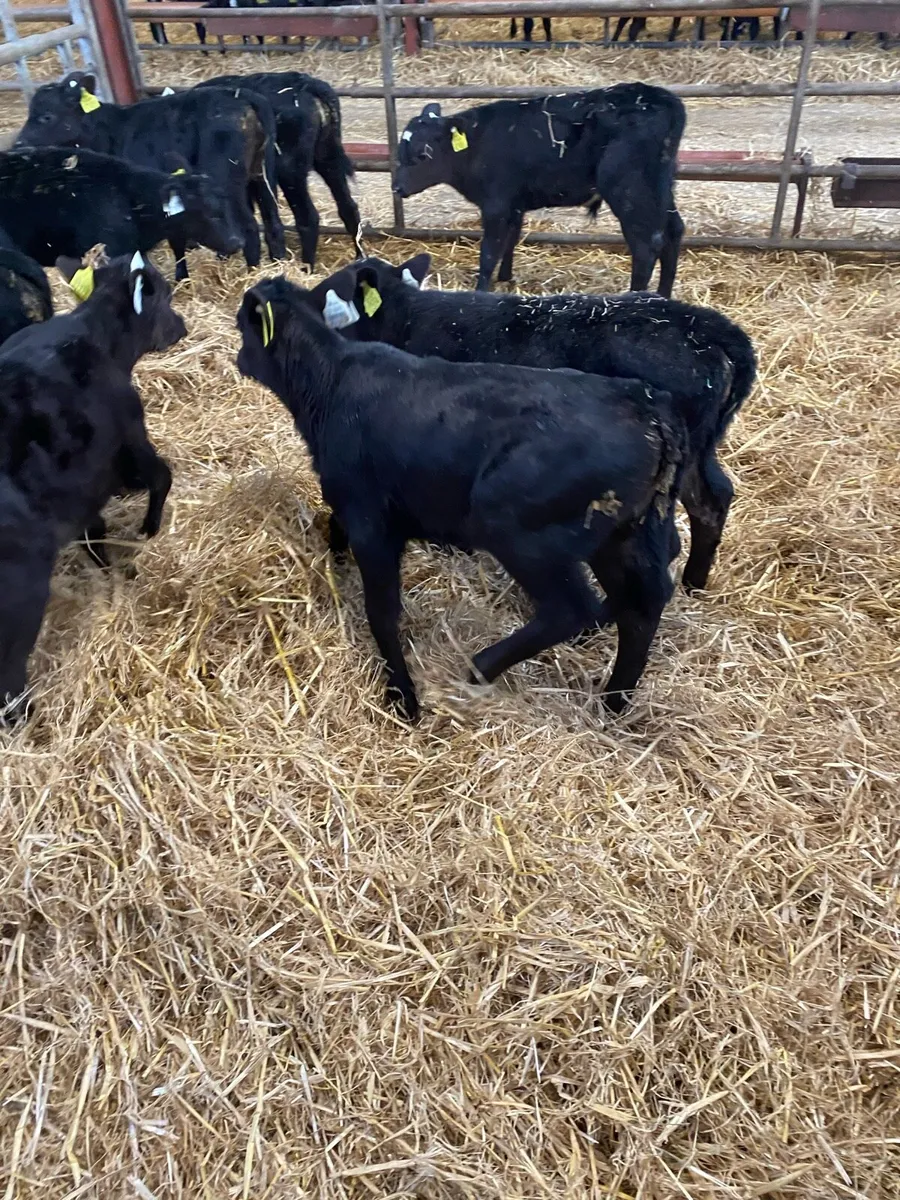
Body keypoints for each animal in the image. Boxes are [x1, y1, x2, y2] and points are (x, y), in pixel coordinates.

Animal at [0, 251, 182, 726]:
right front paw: (147, 532)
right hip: (22, 593)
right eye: (165, 296)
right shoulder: (130, 441)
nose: (182, 325)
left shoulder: (80, 490)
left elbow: (94, 536)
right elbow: (162, 477)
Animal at [194, 72, 361, 267]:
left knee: (307, 217)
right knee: (348, 208)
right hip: (328, 159)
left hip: (289, 171)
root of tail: (305, 83)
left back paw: (305, 268)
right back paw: (360, 258)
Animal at [235, 272, 688, 721]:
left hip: (519, 530)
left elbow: (382, 612)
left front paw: (402, 696)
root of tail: (648, 408)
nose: (239, 359)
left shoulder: (372, 524)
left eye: (243, 326)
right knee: (643, 603)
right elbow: (335, 525)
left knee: (572, 609)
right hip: (624, 532)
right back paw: (615, 701)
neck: (331, 382)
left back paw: (480, 667)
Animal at [313, 253, 756, 595]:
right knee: (713, 500)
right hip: (700, 450)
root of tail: (707, 327)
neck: (406, 319)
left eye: (331, 296)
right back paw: (695, 583)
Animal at [393, 86, 686, 296]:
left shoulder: (496, 205)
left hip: (629, 190)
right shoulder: (514, 204)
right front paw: (506, 278)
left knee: (646, 245)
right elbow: (510, 241)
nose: (397, 187)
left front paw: (482, 289)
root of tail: (663, 99)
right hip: (659, 189)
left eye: (421, 155)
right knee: (673, 232)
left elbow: (489, 252)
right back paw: (664, 294)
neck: (476, 146)